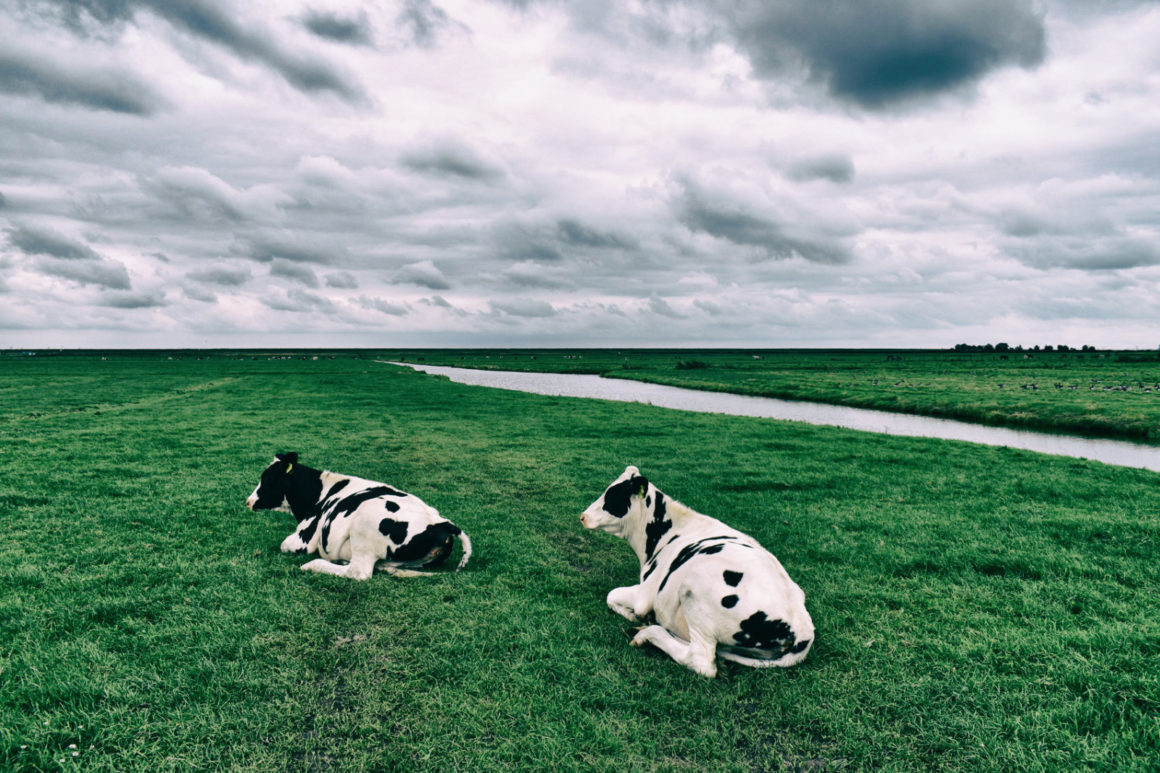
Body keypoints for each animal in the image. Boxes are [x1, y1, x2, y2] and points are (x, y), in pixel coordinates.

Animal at [244, 452, 470, 578]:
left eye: (268, 479)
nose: (248, 501)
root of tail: (440, 522)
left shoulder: (303, 539)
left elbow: (284, 545)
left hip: (364, 524)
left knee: (358, 572)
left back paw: (314, 565)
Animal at [580, 464, 816, 673]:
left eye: (613, 496)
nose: (583, 516)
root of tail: (802, 629)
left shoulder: (644, 594)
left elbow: (612, 595)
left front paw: (633, 616)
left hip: (695, 589)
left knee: (700, 660)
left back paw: (647, 633)